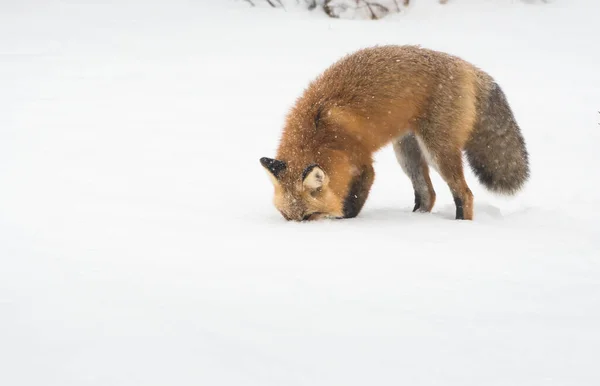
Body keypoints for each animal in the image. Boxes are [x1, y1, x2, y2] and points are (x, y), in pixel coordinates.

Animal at [260, 44, 528, 220]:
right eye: (286, 216)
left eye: (308, 216)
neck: (319, 132)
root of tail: (468, 66)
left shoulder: (363, 166)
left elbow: (351, 206)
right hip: (406, 153)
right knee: (428, 195)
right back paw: (417, 221)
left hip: (437, 151)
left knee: (465, 193)